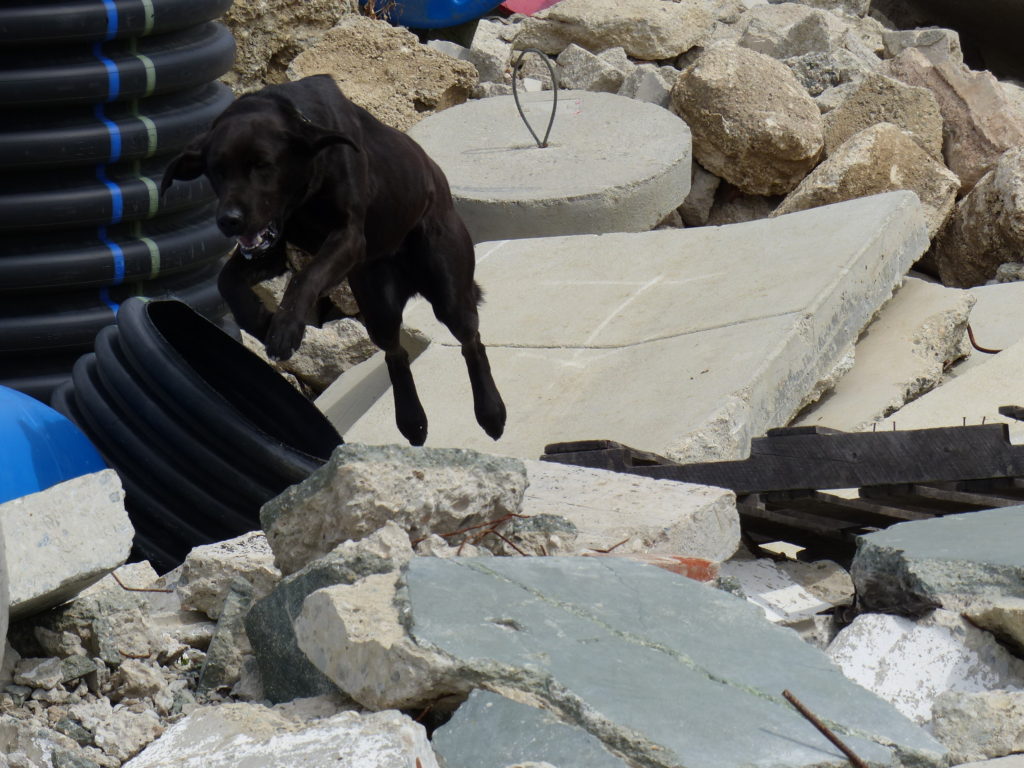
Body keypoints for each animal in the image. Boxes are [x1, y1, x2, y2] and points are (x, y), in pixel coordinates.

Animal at [160, 75, 507, 448]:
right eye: (217, 171)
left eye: (263, 165)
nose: (229, 220)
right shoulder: (272, 250)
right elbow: (227, 281)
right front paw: (260, 320)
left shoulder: (348, 238)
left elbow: (306, 277)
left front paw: (285, 328)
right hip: (378, 305)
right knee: (394, 352)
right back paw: (413, 422)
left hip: (448, 290)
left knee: (471, 341)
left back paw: (491, 413)